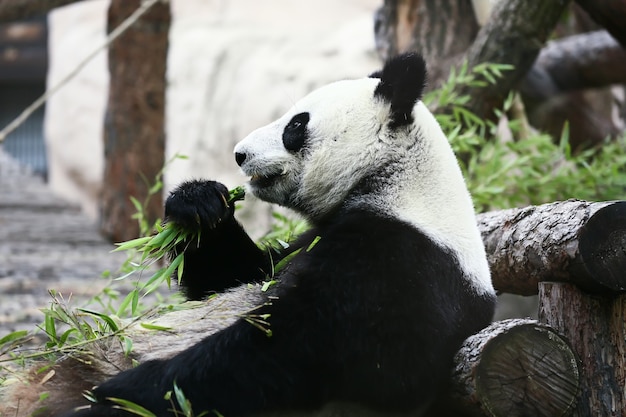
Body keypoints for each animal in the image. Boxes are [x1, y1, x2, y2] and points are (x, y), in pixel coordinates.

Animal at [12, 52, 494, 416]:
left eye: (295, 124)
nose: (239, 154)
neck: (400, 186)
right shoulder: (313, 238)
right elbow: (240, 274)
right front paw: (200, 202)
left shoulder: (405, 261)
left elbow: (299, 345)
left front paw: (126, 390)